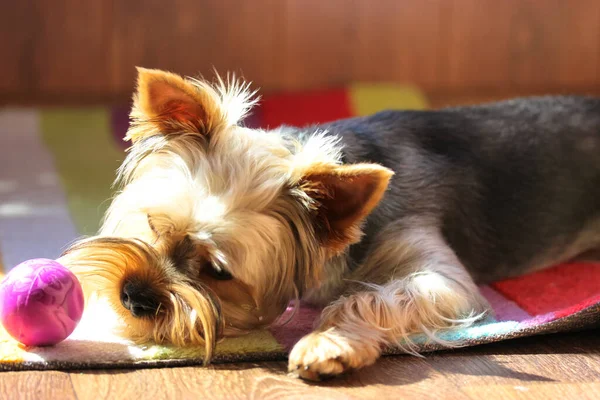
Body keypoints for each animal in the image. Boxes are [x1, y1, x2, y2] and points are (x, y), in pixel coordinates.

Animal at [57, 67, 600, 380]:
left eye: (218, 273)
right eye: (151, 224)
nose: (134, 298)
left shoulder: (441, 273)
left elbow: (374, 296)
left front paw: (326, 343)